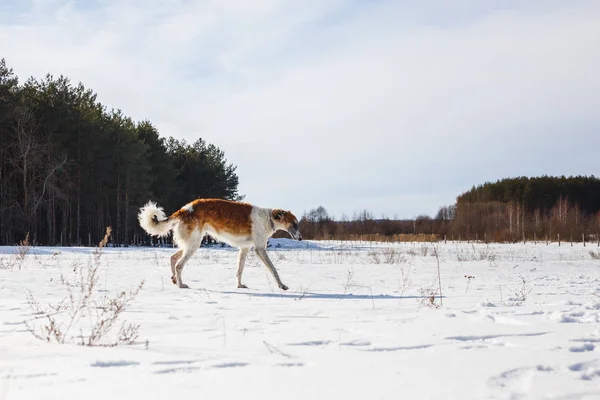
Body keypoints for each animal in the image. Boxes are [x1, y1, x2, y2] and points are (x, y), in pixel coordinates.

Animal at [138, 198, 302, 290]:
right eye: (294, 223)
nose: (300, 238)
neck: (268, 218)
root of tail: (184, 209)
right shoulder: (260, 249)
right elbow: (274, 270)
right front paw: (282, 285)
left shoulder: (244, 249)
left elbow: (239, 270)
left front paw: (239, 285)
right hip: (193, 244)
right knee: (179, 265)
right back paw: (181, 285)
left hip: (191, 243)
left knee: (172, 258)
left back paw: (174, 279)